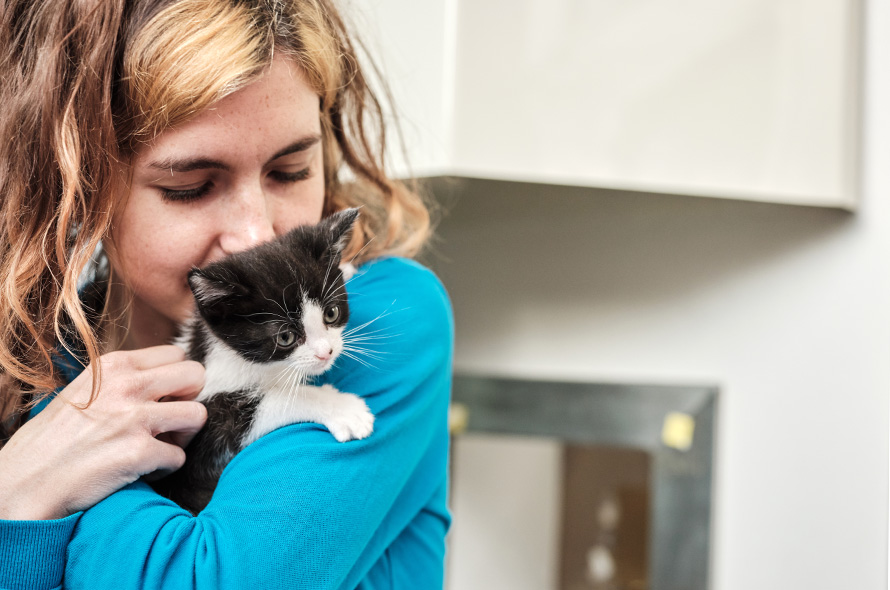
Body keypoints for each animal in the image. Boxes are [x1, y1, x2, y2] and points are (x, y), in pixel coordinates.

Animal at [151, 210, 372, 516]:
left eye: (331, 313)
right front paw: (343, 409)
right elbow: (276, 401)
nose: (326, 352)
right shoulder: (206, 435)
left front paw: (347, 267)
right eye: (285, 337)